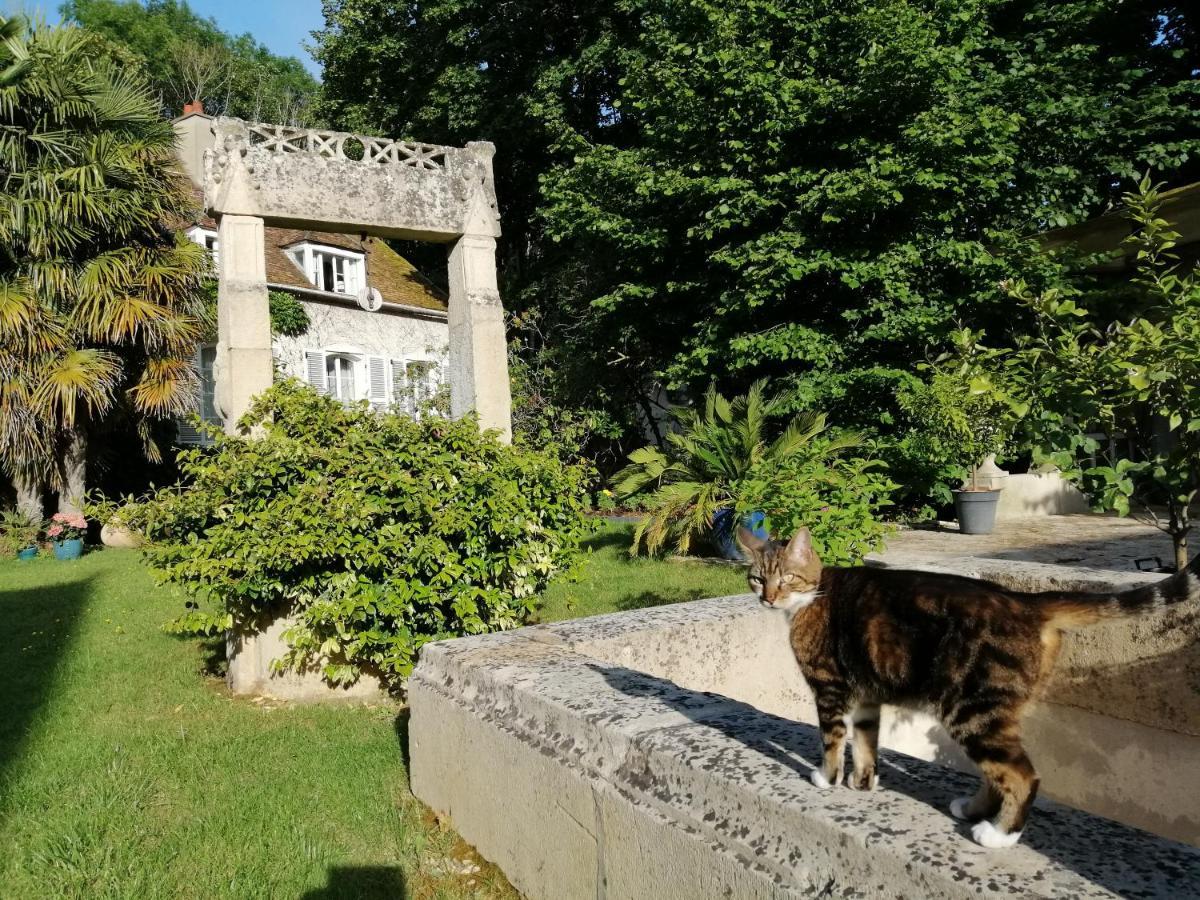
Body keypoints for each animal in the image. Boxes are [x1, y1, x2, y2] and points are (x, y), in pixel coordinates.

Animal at [739, 525, 1200, 849]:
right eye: (757, 578)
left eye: (787, 578)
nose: (768, 598)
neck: (813, 595)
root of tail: (1025, 601)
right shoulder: (869, 695)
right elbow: (867, 742)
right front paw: (864, 783)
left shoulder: (829, 687)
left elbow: (833, 739)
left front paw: (827, 778)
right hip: (990, 713)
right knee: (998, 771)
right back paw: (974, 810)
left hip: (972, 709)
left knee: (1022, 775)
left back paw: (998, 836)